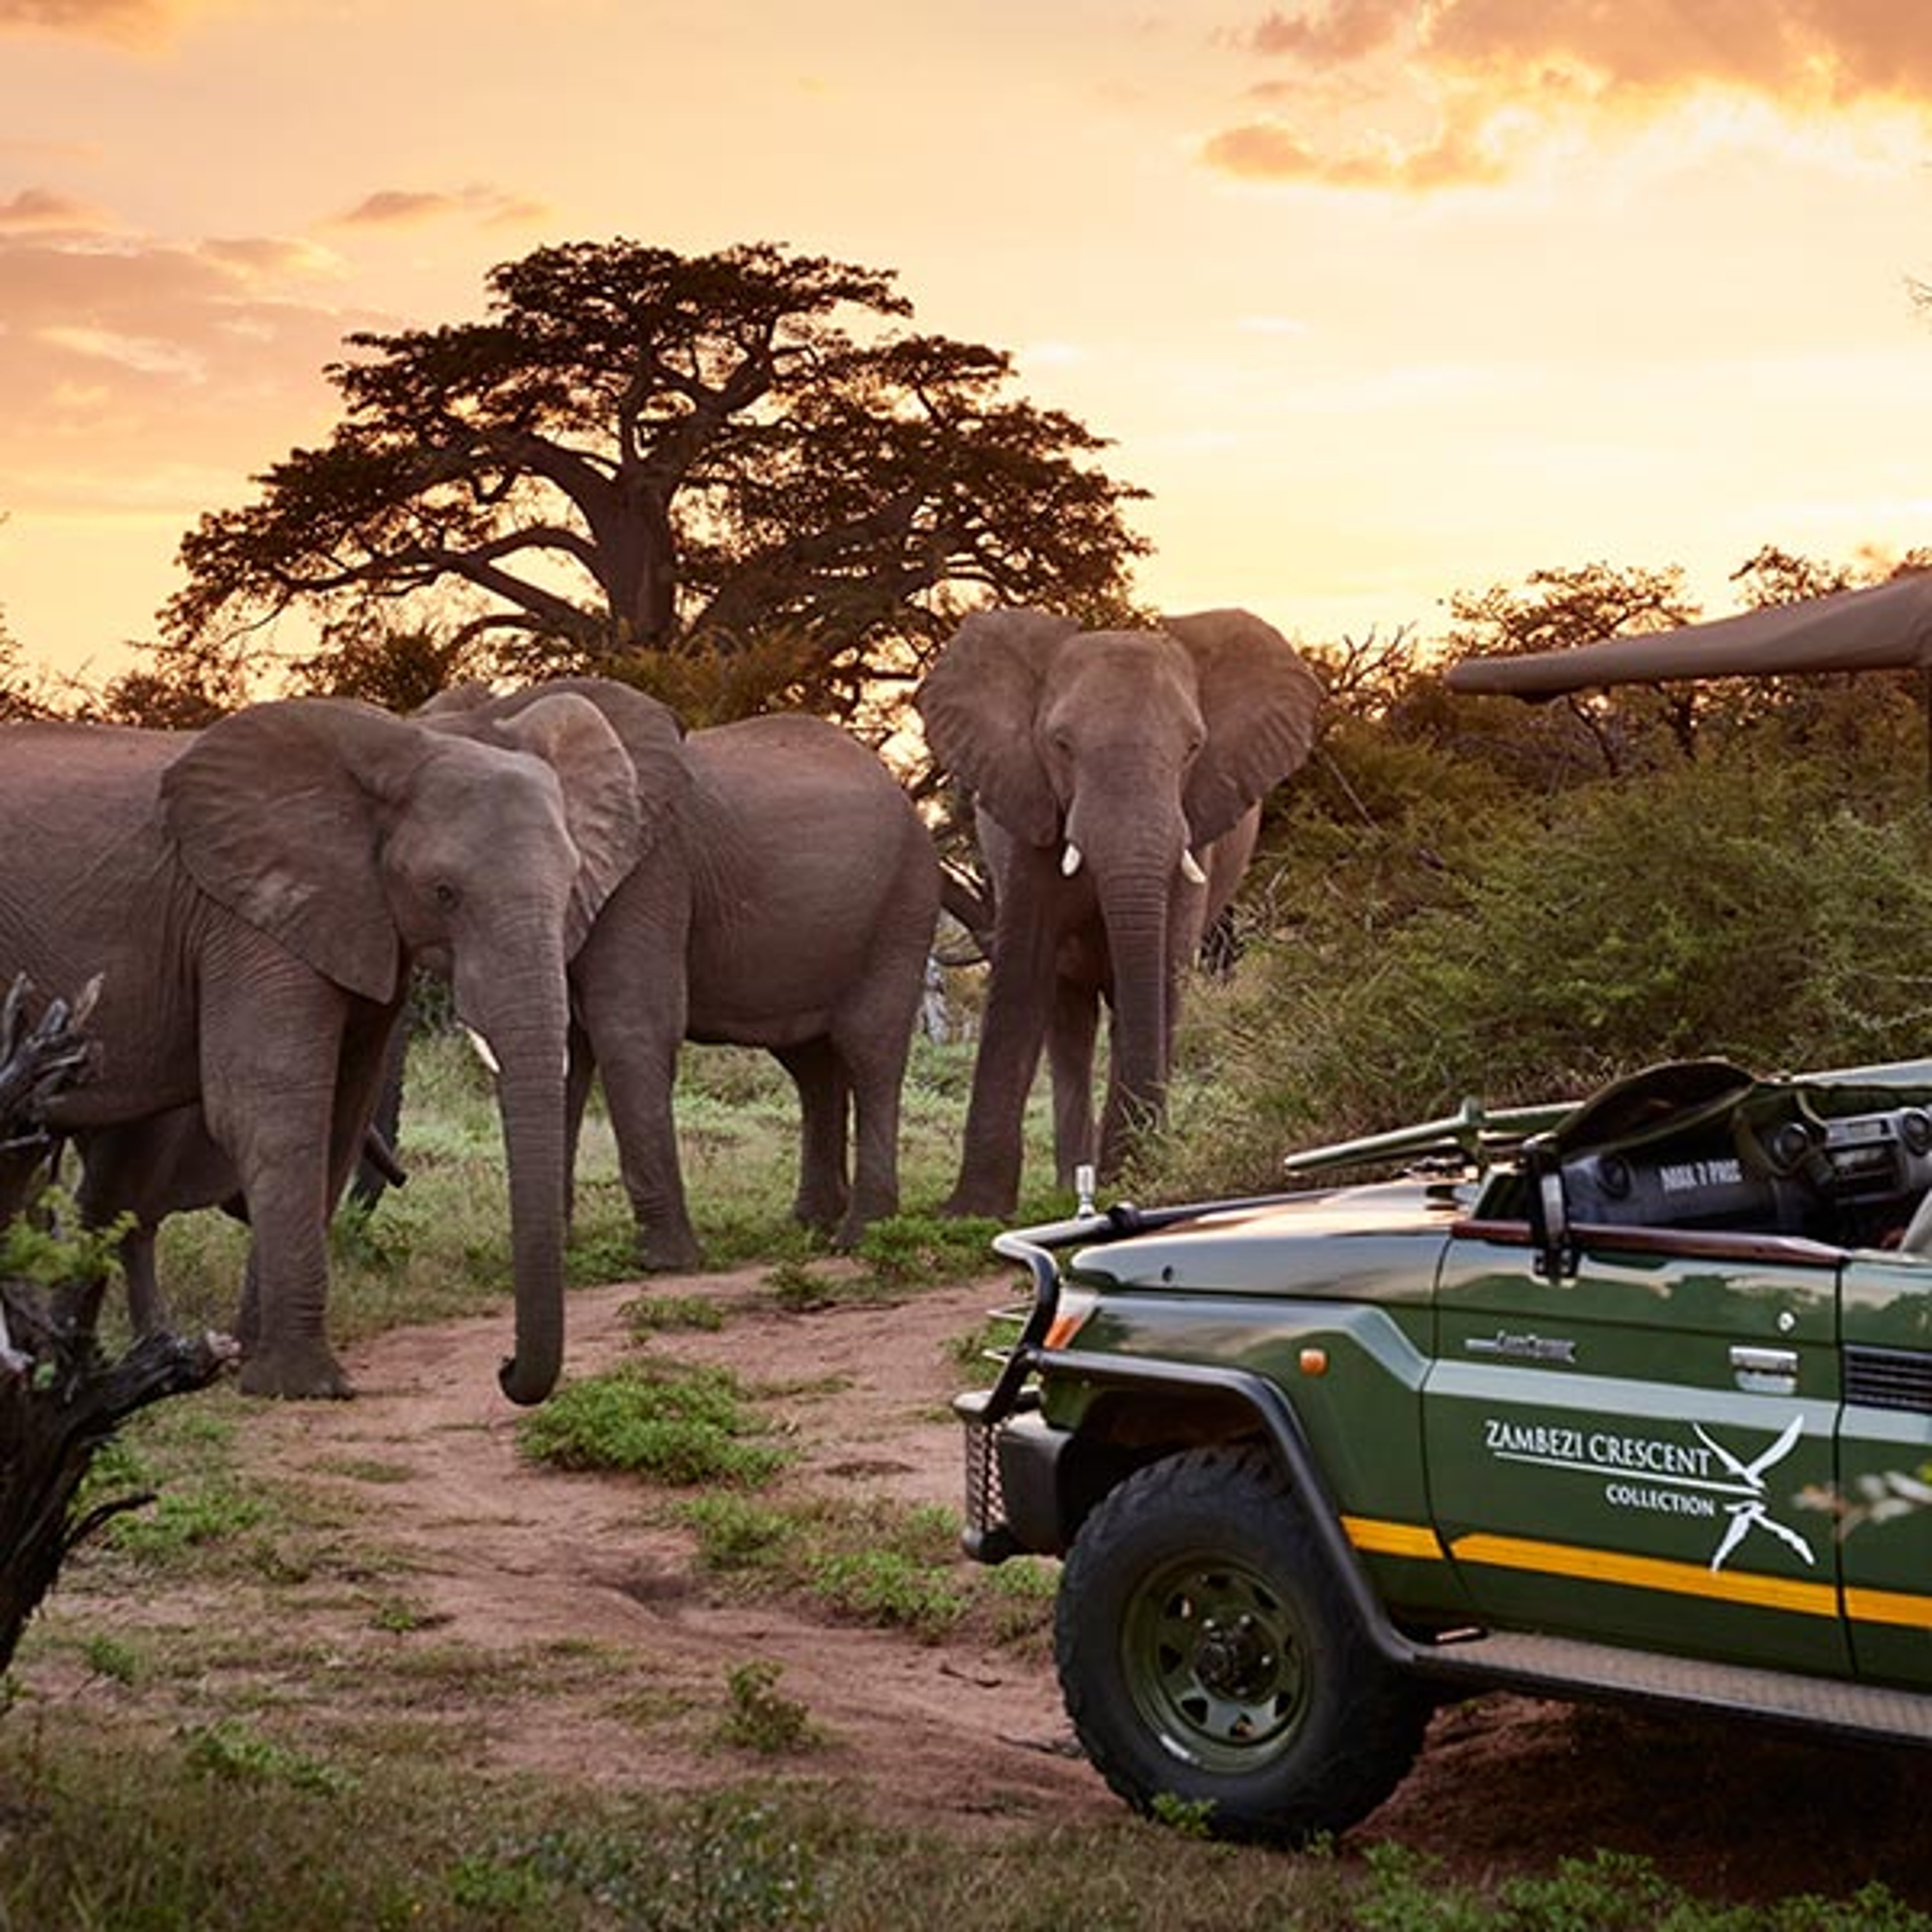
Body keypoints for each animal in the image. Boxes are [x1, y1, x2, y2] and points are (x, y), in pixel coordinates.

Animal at [0, 693, 643, 1400]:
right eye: (443, 893)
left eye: (573, 886)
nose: (503, 1369)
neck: (402, 745)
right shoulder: (249, 918)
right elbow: (271, 1108)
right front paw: (299, 1384)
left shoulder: (351, 917)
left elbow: (339, 1112)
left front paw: (249, 1359)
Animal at [423, 680, 942, 1268]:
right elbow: (568, 1048)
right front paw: (553, 1258)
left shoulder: (651, 869)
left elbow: (632, 1028)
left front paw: (666, 1261)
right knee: (810, 1063)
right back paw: (812, 1224)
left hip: (905, 901)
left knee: (869, 1047)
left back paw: (860, 1236)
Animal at [916, 607, 1324, 1217]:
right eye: (1060, 745)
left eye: (1193, 747)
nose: (1134, 1175)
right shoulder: (1026, 814)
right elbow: (1022, 974)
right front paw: (972, 1211)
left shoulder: (1197, 823)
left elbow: (1162, 971)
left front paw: (1135, 1176)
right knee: (1069, 1021)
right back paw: (1071, 1185)